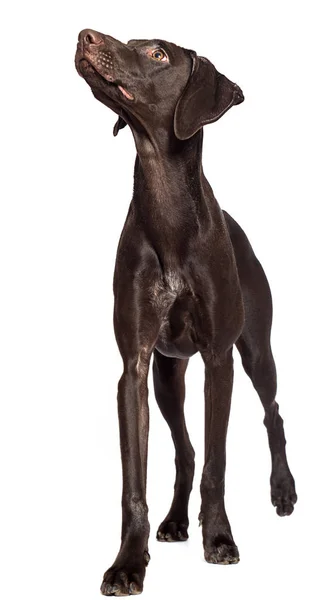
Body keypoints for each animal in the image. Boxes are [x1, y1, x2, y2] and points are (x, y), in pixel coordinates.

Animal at [75, 29, 296, 596]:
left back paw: (283, 489)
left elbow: (218, 463)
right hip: (168, 376)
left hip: (256, 352)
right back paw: (175, 520)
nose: (85, 35)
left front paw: (218, 538)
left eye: (157, 54)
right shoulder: (134, 368)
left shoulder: (220, 359)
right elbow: (137, 481)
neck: (167, 206)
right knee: (184, 450)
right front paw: (128, 562)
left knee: (273, 413)